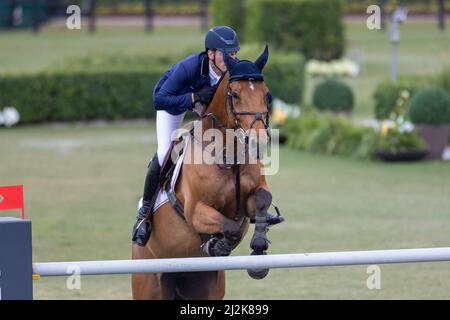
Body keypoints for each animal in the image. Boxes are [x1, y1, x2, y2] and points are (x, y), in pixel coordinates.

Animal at [132, 45, 276, 300]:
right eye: (235, 95)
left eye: (266, 94)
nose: (257, 143)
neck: (229, 156)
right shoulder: (195, 211)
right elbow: (229, 227)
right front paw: (218, 245)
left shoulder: (250, 199)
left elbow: (262, 199)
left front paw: (258, 253)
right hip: (148, 283)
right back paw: (142, 226)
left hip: (206, 287)